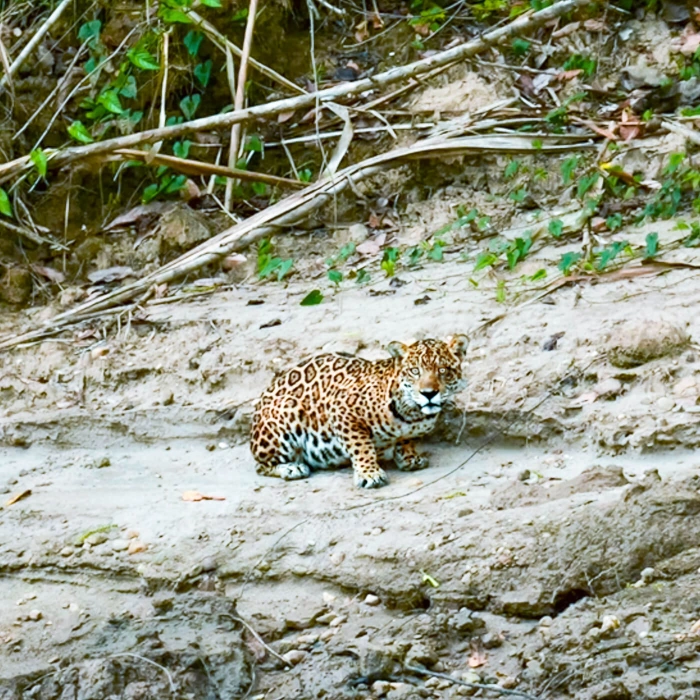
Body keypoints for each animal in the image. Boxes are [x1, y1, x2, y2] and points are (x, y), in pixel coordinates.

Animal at [250, 335, 468, 488]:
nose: (429, 393)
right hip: (286, 413)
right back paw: (292, 467)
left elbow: (406, 440)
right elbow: (361, 446)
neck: (412, 414)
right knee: (261, 465)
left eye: (443, 370)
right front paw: (370, 474)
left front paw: (409, 457)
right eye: (415, 371)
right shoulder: (342, 412)